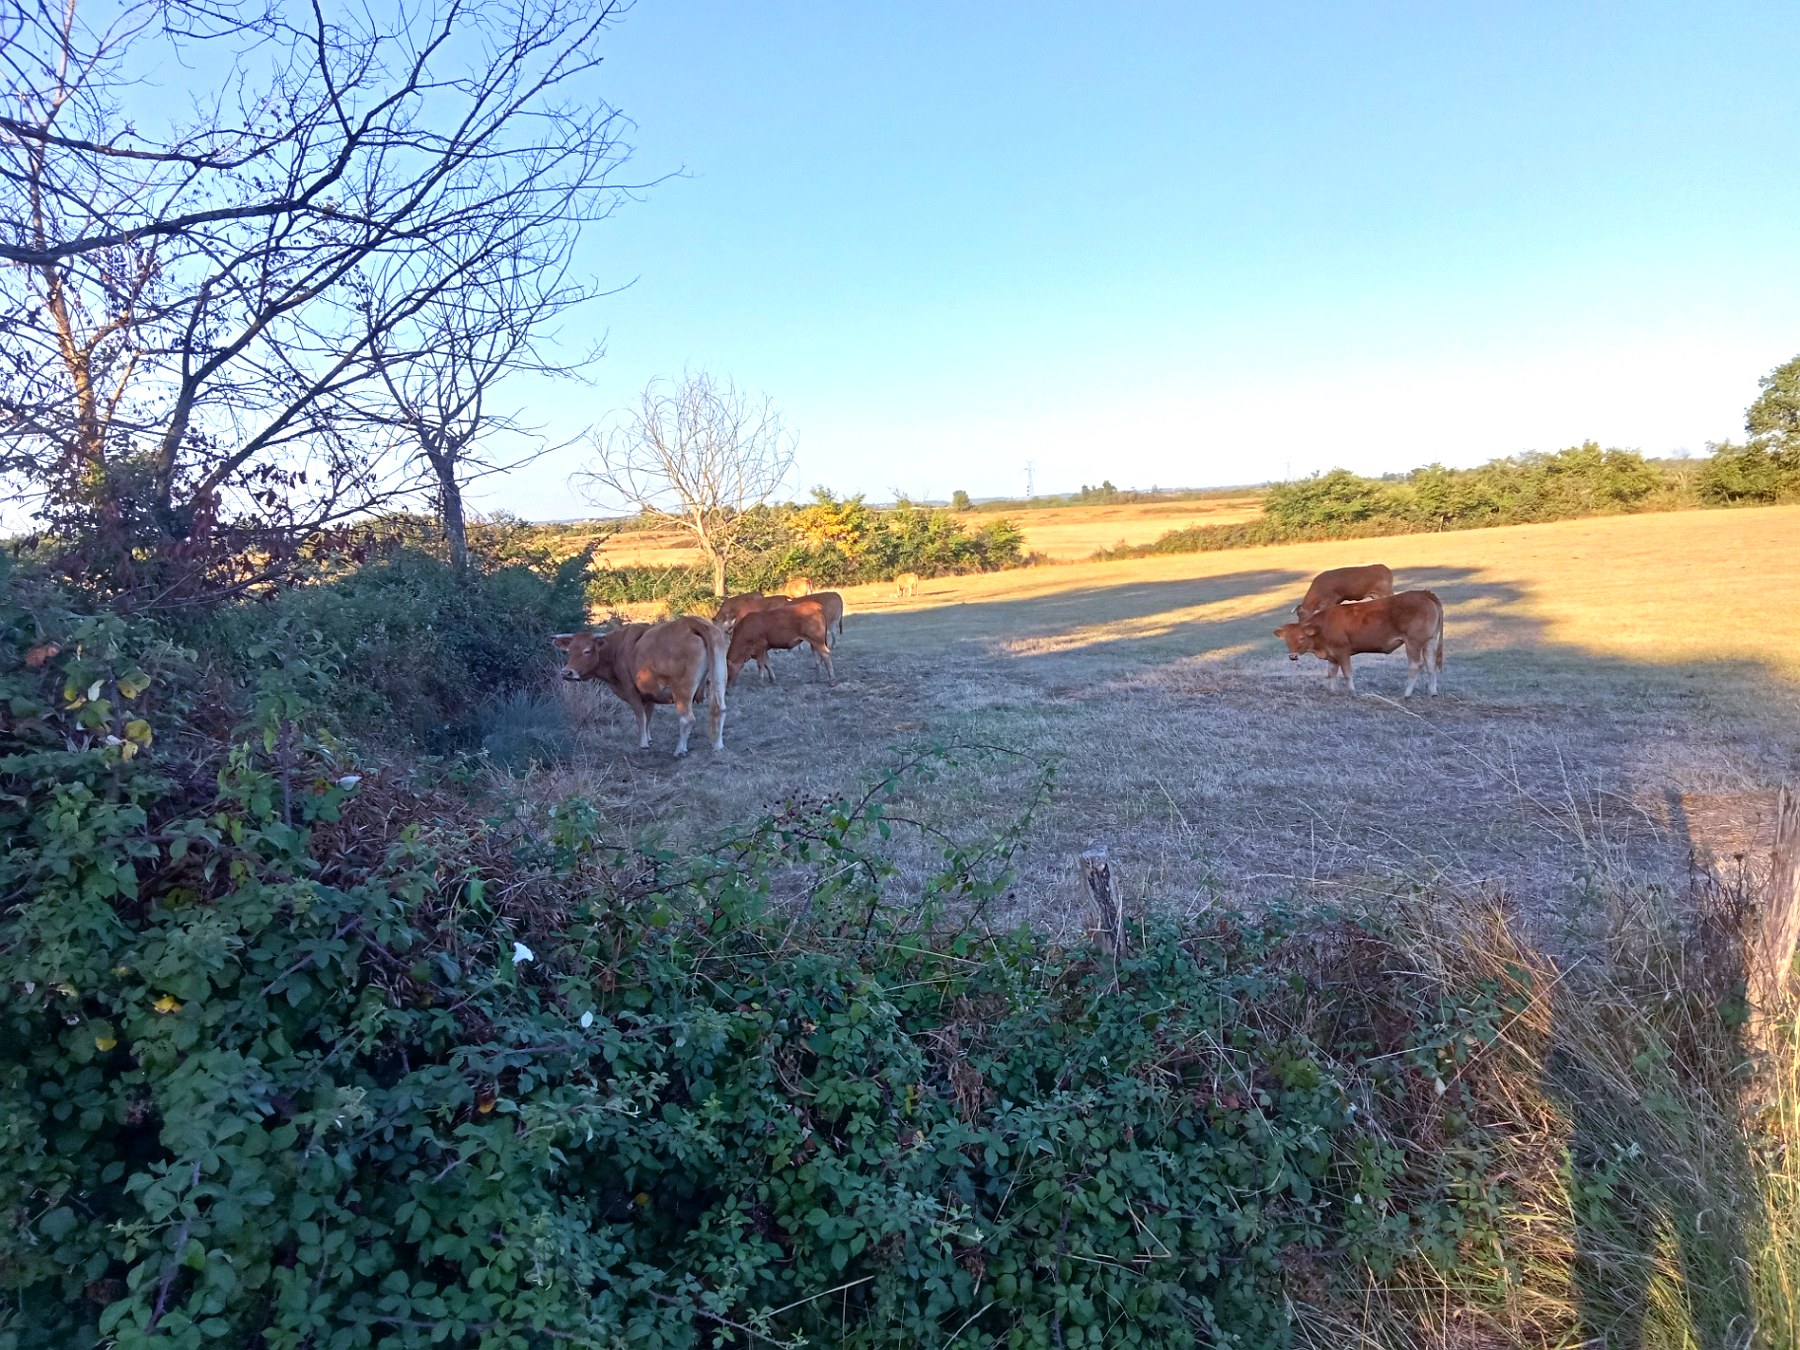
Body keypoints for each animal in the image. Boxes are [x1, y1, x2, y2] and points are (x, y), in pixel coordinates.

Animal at [551, 616, 728, 756]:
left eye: (587, 651)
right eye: (569, 651)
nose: (566, 672)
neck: (618, 649)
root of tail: (690, 622)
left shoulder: (631, 690)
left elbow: (640, 718)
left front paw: (643, 743)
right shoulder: (649, 694)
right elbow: (648, 717)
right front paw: (648, 738)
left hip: (682, 690)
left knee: (687, 719)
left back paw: (680, 749)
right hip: (720, 677)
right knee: (720, 709)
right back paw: (718, 745)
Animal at [1274, 589, 1443, 696]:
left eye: (1301, 638)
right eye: (1287, 640)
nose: (1293, 656)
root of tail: (1424, 593)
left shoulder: (1342, 651)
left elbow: (1347, 673)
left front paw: (1352, 692)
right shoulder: (1332, 656)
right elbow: (1331, 673)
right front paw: (1331, 692)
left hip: (1413, 642)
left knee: (1416, 665)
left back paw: (1406, 694)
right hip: (1429, 641)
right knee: (1431, 664)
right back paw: (1433, 692)